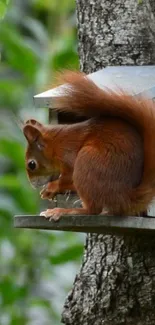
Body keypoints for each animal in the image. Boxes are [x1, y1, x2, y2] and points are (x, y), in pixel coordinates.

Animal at [22, 71, 155, 220]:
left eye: (31, 164)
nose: (33, 185)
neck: (55, 145)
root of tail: (125, 198)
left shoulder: (68, 155)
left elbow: (66, 178)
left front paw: (51, 187)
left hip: (87, 161)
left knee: (92, 210)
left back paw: (63, 211)